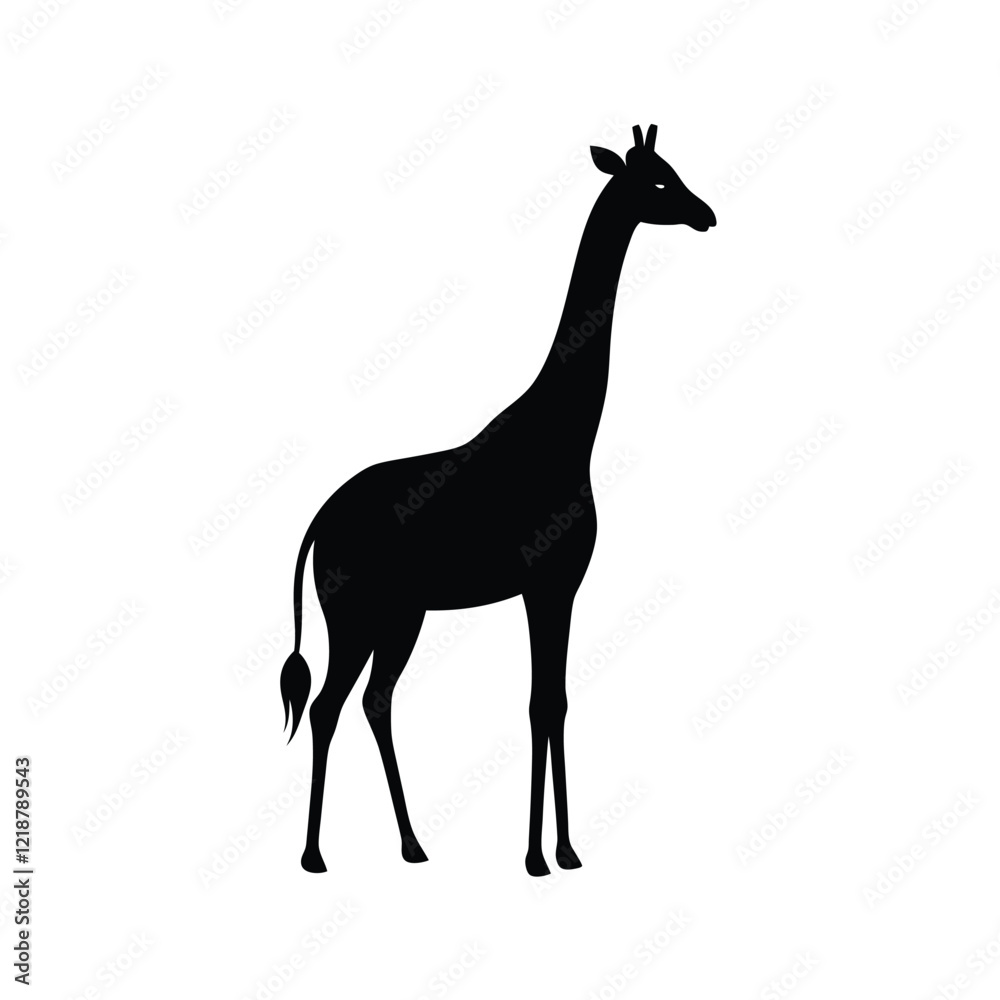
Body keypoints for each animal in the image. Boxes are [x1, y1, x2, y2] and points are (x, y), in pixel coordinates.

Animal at [280, 124, 716, 877]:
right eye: (658, 180)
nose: (706, 214)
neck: (566, 433)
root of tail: (317, 522)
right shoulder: (545, 585)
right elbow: (540, 705)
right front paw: (540, 856)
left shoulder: (562, 587)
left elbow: (556, 702)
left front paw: (565, 850)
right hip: (354, 614)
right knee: (327, 706)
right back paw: (313, 856)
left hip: (401, 615)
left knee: (374, 701)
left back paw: (413, 845)